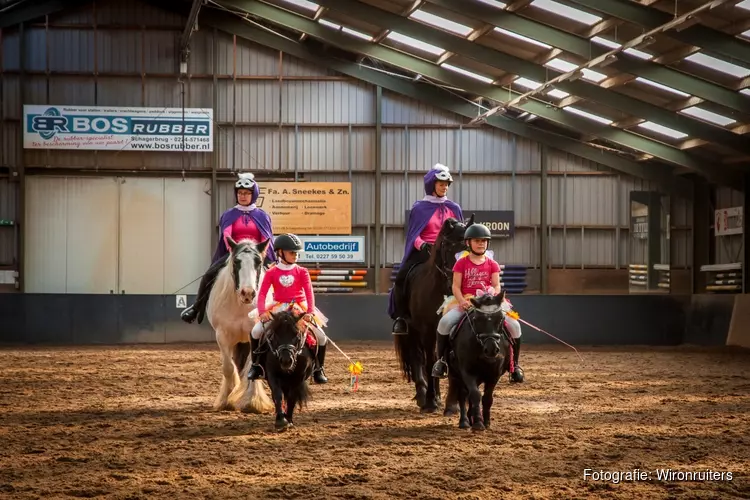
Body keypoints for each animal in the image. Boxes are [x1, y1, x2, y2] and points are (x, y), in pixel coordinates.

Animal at [207, 236, 274, 412]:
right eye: (237, 261)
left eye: (258, 261)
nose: (248, 293)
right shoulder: (222, 335)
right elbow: (228, 367)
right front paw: (227, 399)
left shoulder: (256, 335)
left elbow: (252, 367)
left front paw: (253, 401)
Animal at [394, 213, 476, 412]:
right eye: (449, 246)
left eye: (469, 247)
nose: (456, 280)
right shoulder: (427, 330)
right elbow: (430, 360)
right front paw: (431, 401)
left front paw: (452, 403)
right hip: (411, 331)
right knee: (417, 358)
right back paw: (423, 395)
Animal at [450, 292, 516, 432]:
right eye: (476, 319)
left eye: (501, 318)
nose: (491, 349)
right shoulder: (467, 372)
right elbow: (475, 395)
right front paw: (478, 423)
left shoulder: (494, 374)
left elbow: (487, 398)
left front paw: (486, 422)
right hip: (457, 374)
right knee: (463, 394)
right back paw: (464, 421)